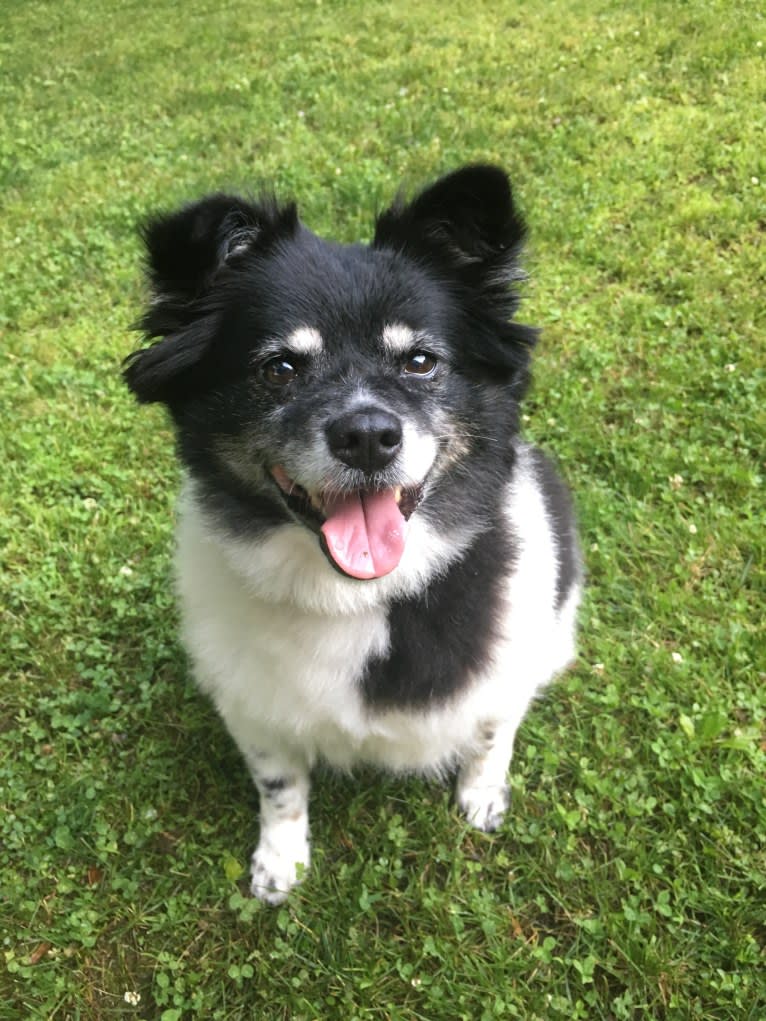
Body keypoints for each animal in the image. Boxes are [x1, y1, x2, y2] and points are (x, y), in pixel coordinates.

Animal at [124, 165, 580, 902]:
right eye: (279, 368)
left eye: (420, 361)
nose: (366, 435)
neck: (354, 593)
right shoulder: (253, 704)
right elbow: (279, 783)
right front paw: (280, 858)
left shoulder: (505, 668)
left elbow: (491, 733)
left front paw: (482, 793)